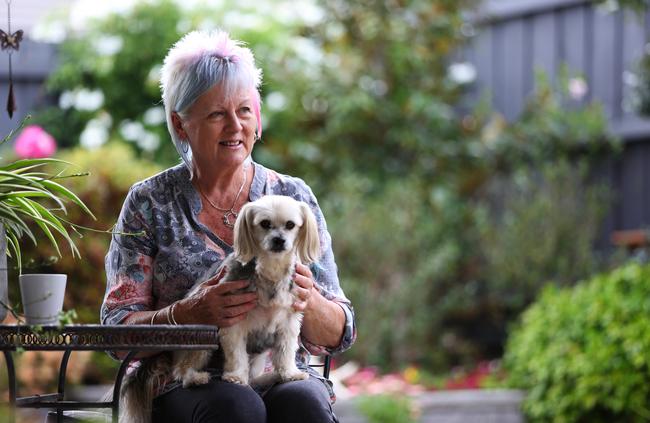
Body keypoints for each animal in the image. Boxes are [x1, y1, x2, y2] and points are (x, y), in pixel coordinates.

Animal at [120, 196, 320, 423]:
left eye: (290, 225)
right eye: (265, 224)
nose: (279, 240)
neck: (271, 270)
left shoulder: (288, 322)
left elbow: (285, 352)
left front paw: (289, 373)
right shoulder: (233, 321)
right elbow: (236, 354)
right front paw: (236, 376)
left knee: (254, 378)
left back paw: (271, 377)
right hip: (202, 338)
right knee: (180, 371)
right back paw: (196, 378)